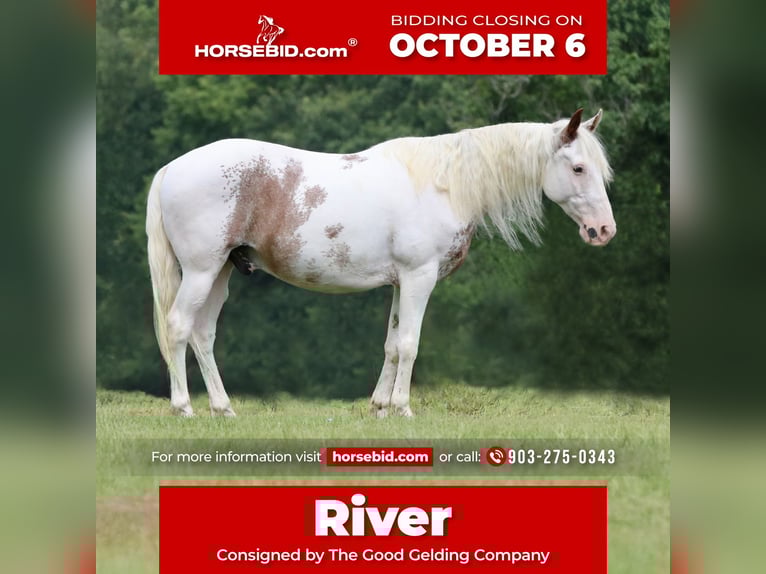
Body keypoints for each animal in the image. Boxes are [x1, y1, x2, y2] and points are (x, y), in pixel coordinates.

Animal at [146, 109, 615, 418]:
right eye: (578, 168)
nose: (603, 230)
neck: (445, 185)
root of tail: (171, 168)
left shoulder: (400, 283)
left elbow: (391, 345)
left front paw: (381, 407)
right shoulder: (420, 278)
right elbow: (409, 343)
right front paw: (403, 409)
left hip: (221, 272)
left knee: (203, 334)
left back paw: (223, 408)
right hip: (202, 272)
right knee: (179, 327)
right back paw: (183, 407)